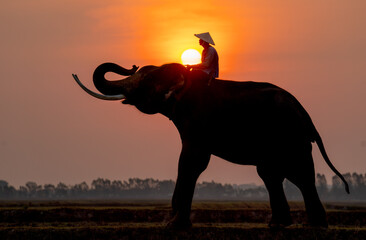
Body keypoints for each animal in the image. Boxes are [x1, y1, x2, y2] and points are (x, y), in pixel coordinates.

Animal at [72, 61, 348, 229]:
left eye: (145, 80)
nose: (131, 65)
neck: (184, 77)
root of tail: (305, 113)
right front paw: (174, 224)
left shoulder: (197, 120)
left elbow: (191, 162)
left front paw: (174, 226)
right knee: (272, 174)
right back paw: (281, 225)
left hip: (289, 136)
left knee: (299, 174)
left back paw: (312, 225)